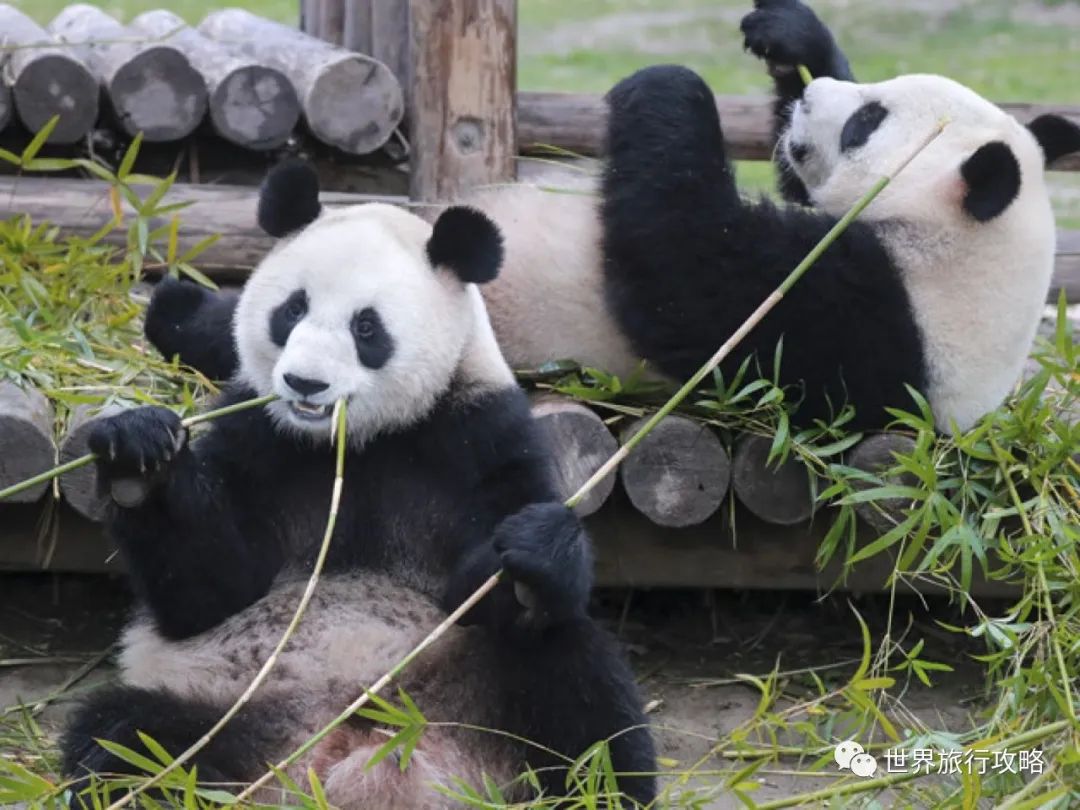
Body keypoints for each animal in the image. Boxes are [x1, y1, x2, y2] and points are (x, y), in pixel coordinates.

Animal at [65, 162, 656, 807]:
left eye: (366, 327)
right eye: (291, 310)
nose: (305, 383)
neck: (356, 441)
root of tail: (356, 752)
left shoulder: (478, 434)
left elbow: (487, 581)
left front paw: (532, 549)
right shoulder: (257, 434)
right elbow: (208, 590)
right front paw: (137, 455)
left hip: (483, 697)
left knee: (582, 691)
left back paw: (596, 789)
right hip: (220, 707)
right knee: (124, 739)